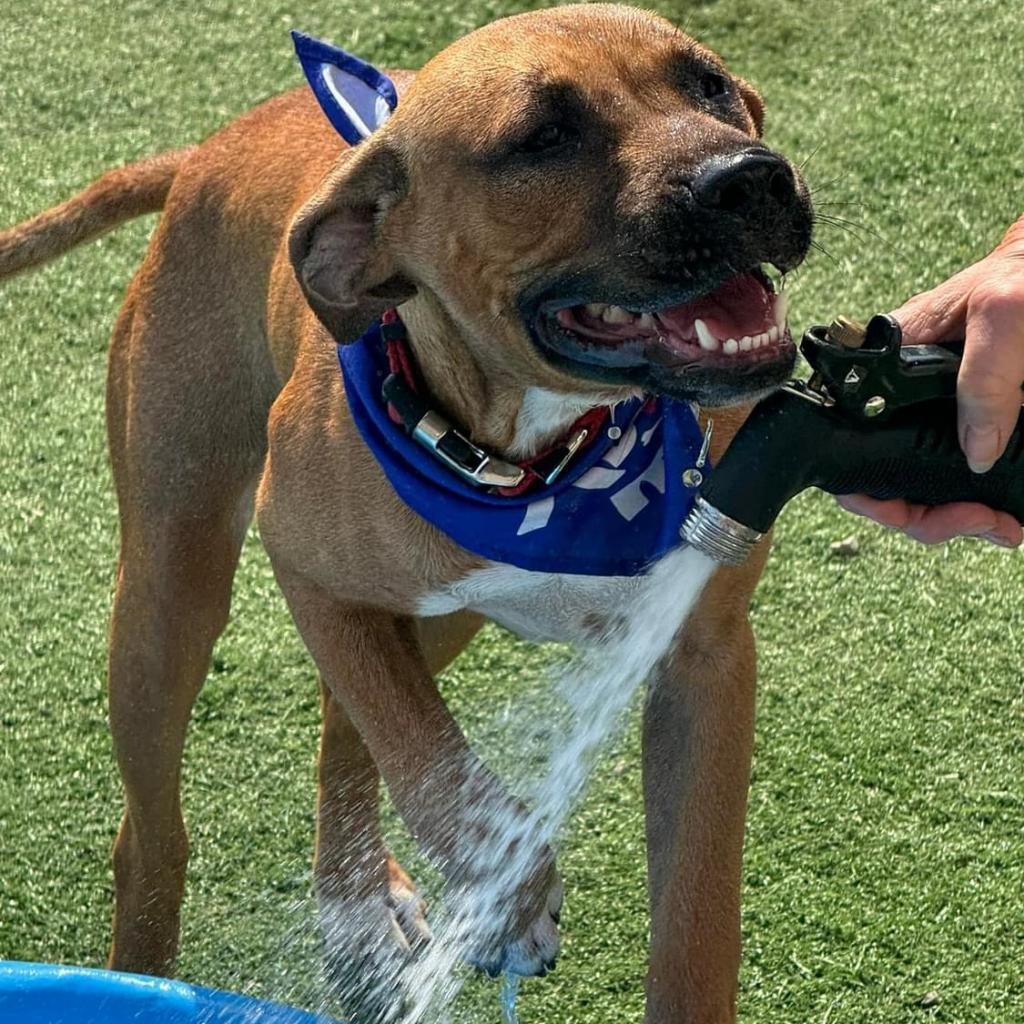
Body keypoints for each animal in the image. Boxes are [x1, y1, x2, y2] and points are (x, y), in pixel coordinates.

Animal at [2, 4, 815, 1019]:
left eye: (709, 83)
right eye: (541, 138)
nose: (750, 176)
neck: (547, 457)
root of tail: (204, 153)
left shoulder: (704, 657)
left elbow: (697, 919)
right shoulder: (302, 560)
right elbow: (425, 753)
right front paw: (508, 890)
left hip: (431, 614)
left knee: (342, 720)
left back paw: (357, 908)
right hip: (168, 595)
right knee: (155, 836)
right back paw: (148, 968)